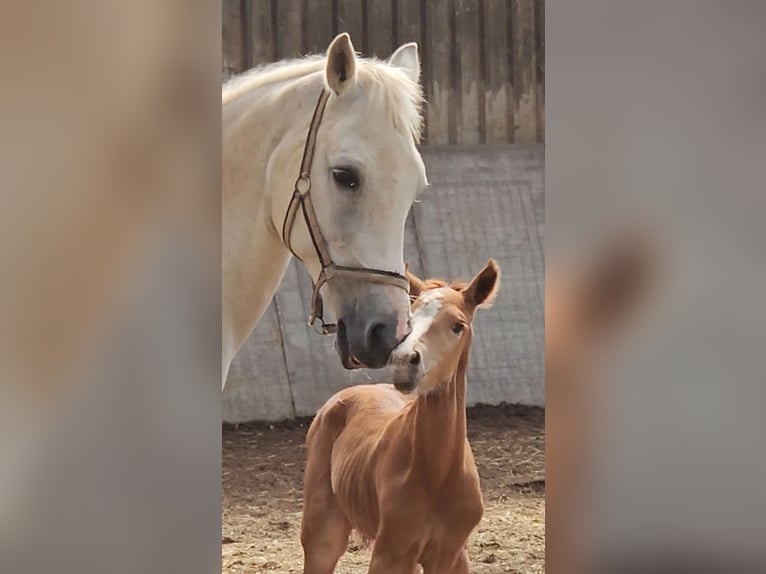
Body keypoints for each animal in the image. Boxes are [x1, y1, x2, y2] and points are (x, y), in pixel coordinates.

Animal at [304, 262, 500, 574]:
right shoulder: (391, 554)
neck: (437, 474)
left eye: (458, 326)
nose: (403, 361)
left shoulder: (452, 556)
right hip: (322, 534)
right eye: (410, 320)